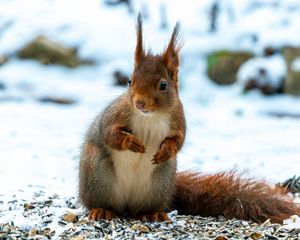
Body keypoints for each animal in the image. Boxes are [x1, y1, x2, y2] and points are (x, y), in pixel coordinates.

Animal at [78, 13, 300, 223]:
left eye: (163, 85)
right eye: (129, 81)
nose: (139, 103)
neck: (151, 117)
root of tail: (126, 205)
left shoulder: (178, 120)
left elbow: (179, 140)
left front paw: (166, 150)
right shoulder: (116, 114)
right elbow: (108, 133)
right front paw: (130, 142)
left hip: (161, 181)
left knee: (141, 209)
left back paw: (150, 213)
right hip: (97, 173)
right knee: (103, 203)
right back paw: (103, 210)